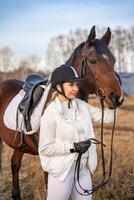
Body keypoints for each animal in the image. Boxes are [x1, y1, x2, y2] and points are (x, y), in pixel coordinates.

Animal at [0, 25, 123, 199]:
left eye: (113, 61)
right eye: (93, 60)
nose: (116, 98)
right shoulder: (48, 163)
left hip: (19, 146)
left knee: (15, 165)